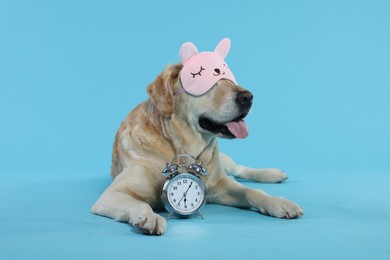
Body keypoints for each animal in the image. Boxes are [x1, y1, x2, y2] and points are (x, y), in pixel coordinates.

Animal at [90, 38, 302, 236]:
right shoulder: (113, 194)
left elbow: (251, 190)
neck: (182, 147)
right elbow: (141, 204)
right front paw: (149, 217)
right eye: (202, 77)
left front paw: (278, 202)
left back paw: (273, 173)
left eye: (230, 79)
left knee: (239, 169)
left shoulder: (220, 184)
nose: (248, 97)